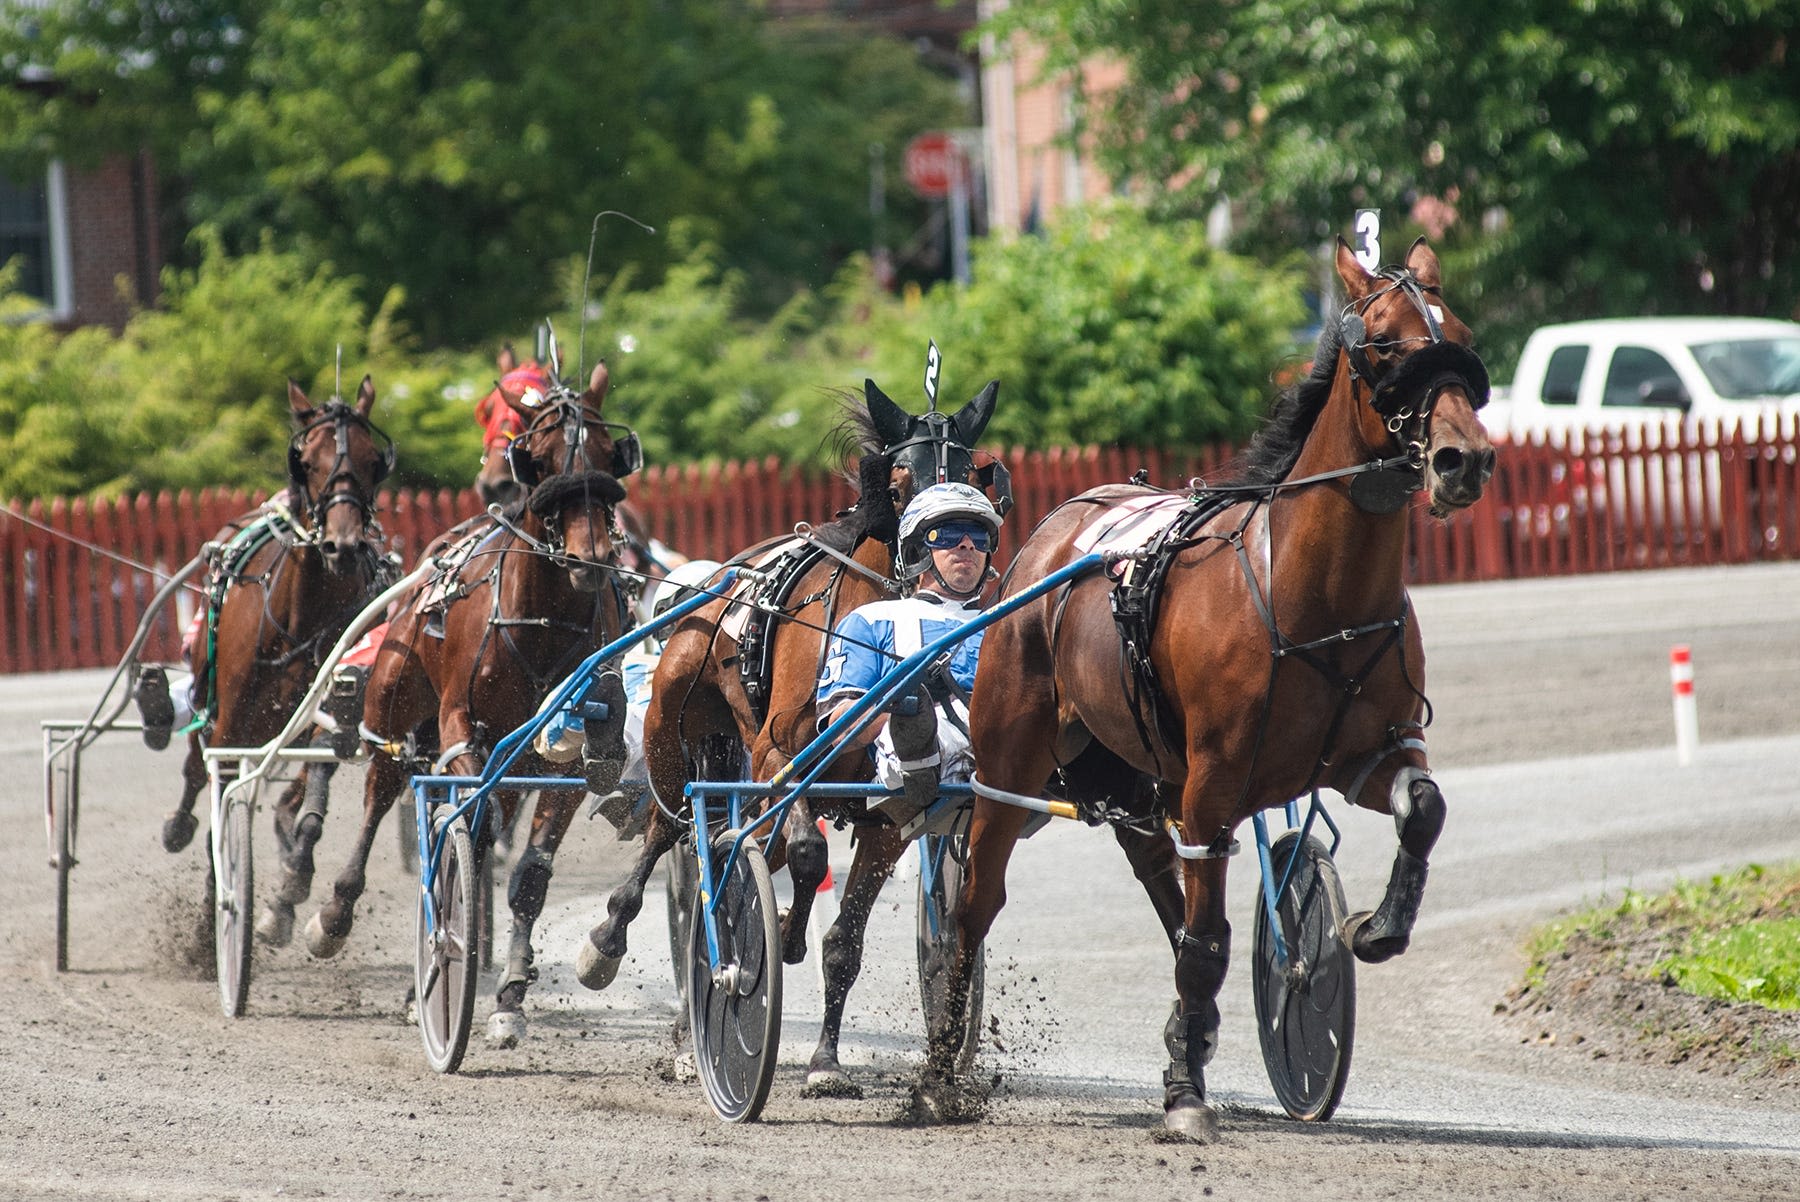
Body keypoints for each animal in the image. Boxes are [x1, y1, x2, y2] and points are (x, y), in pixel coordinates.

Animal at [572, 377, 1008, 1101]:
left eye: (972, 481)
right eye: (898, 483)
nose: (944, 562)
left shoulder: (890, 817)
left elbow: (845, 943)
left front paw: (826, 1059)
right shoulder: (779, 754)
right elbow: (805, 854)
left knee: (742, 847)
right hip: (677, 735)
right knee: (674, 833)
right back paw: (617, 949)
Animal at [921, 237, 1497, 1144]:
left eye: (1461, 335)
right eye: (1381, 344)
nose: (1461, 458)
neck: (1309, 596)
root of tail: (1053, 534)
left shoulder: (1365, 754)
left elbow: (1423, 808)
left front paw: (1373, 928)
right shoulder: (1216, 783)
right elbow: (1207, 943)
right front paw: (1184, 1095)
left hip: (1139, 776)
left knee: (1164, 883)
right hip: (1012, 767)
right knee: (976, 904)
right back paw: (944, 1070)